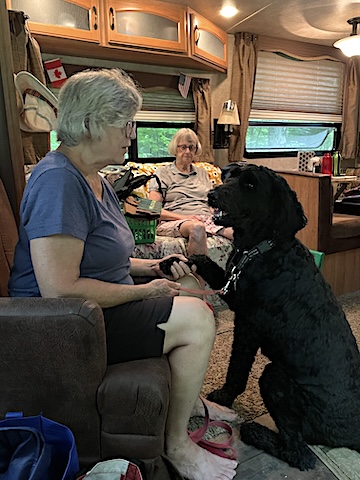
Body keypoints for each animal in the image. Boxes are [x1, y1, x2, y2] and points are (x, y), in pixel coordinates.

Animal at [160, 164, 360, 468]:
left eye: (250, 185)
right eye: (228, 174)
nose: (212, 194)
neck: (262, 249)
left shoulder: (247, 324)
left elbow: (237, 368)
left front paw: (225, 396)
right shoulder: (229, 281)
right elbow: (202, 259)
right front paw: (172, 262)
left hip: (274, 377)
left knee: (299, 453)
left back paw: (254, 431)